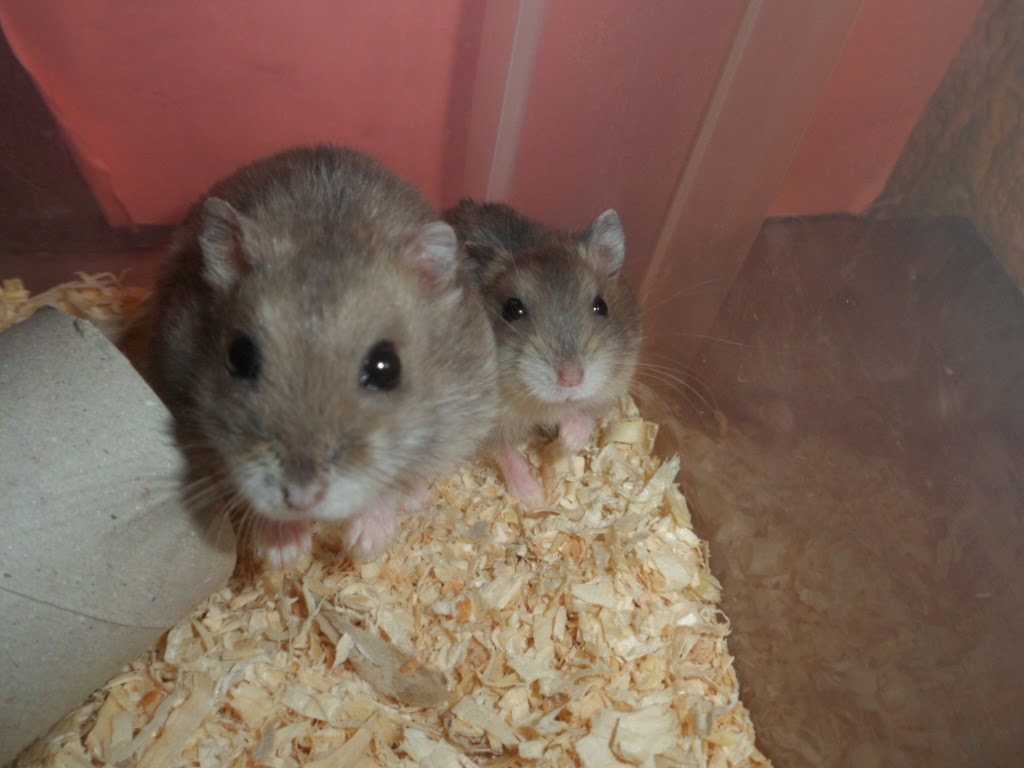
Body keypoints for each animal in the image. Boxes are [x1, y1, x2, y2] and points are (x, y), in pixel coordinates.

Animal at [148, 146, 497, 568]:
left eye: (386, 367)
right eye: (239, 357)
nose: (301, 499)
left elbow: (389, 484)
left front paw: (363, 545)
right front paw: (282, 554)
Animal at [443, 200, 642, 505]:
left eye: (602, 306)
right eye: (512, 309)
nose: (572, 379)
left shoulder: (611, 388)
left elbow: (585, 413)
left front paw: (569, 441)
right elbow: (505, 452)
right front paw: (536, 498)